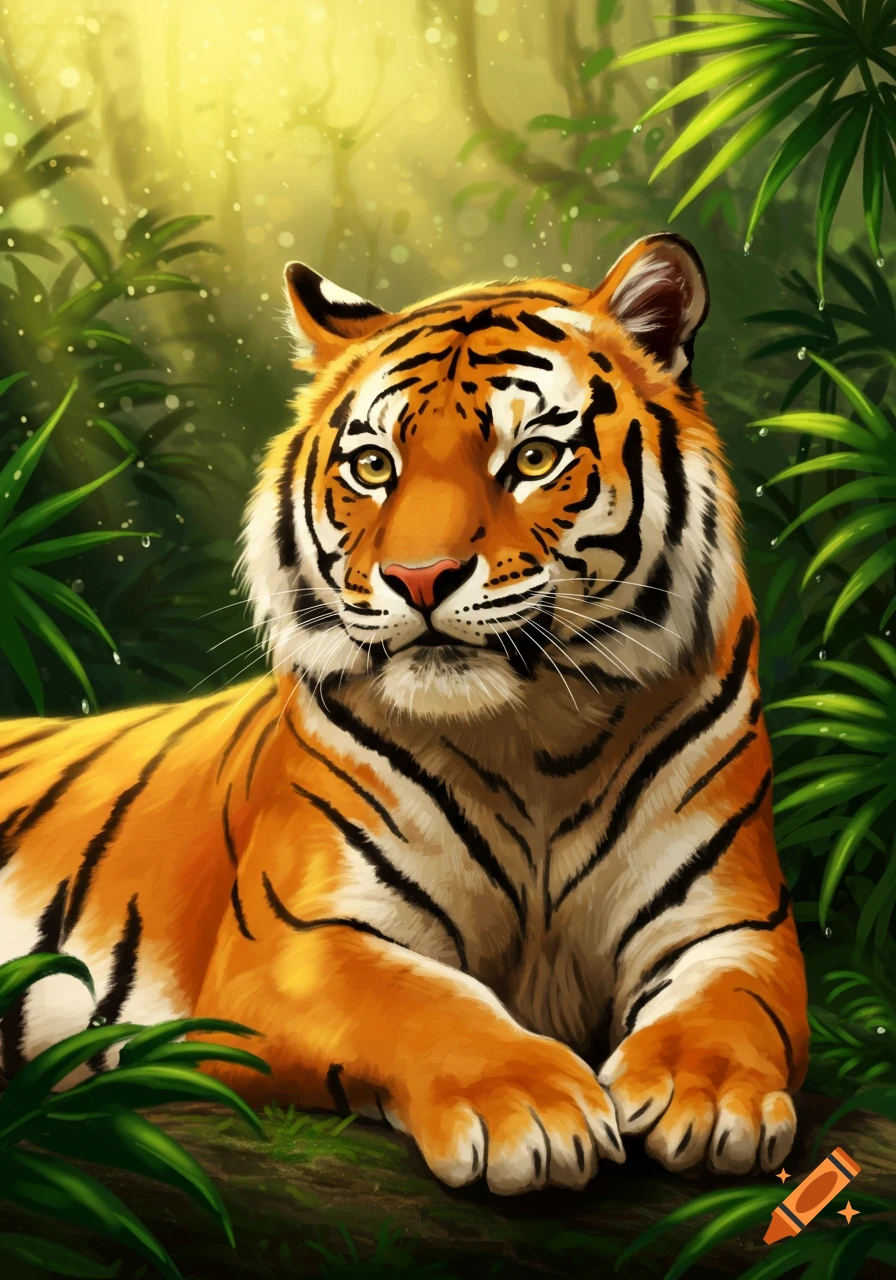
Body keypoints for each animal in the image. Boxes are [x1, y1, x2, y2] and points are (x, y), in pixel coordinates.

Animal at [0, 232, 809, 1195]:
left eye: (532, 459)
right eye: (374, 467)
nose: (421, 579)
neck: (539, 738)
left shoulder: (733, 927)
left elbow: (732, 1008)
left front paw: (711, 1095)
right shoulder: (298, 942)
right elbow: (428, 1001)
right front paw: (531, 1107)